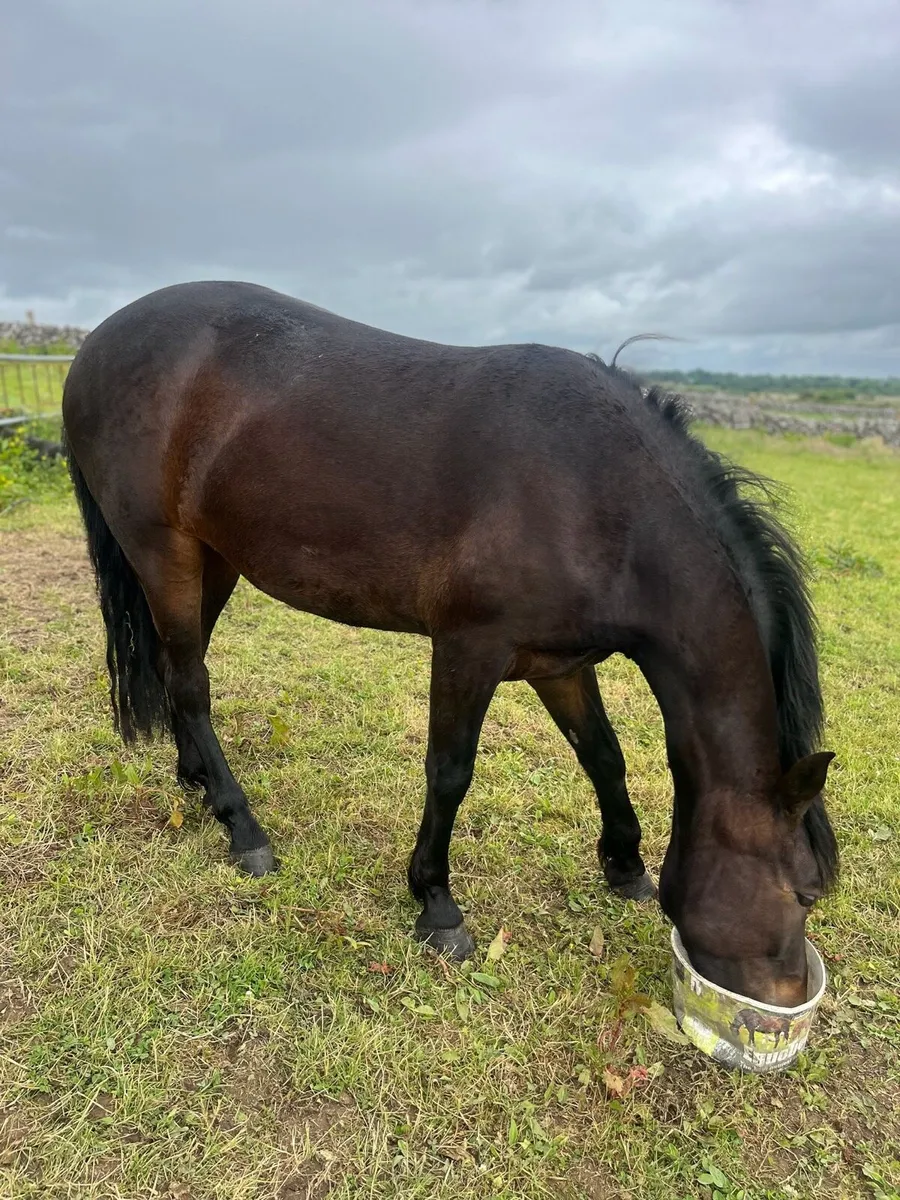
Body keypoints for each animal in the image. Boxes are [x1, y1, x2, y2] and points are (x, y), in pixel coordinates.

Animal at [62, 280, 838, 1006]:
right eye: (805, 892)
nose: (785, 999)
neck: (595, 494)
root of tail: (97, 343)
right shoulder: (470, 648)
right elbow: (450, 772)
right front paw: (437, 905)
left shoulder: (557, 664)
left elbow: (602, 755)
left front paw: (626, 867)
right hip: (162, 551)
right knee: (191, 684)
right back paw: (243, 828)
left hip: (212, 558)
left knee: (179, 667)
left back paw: (196, 779)